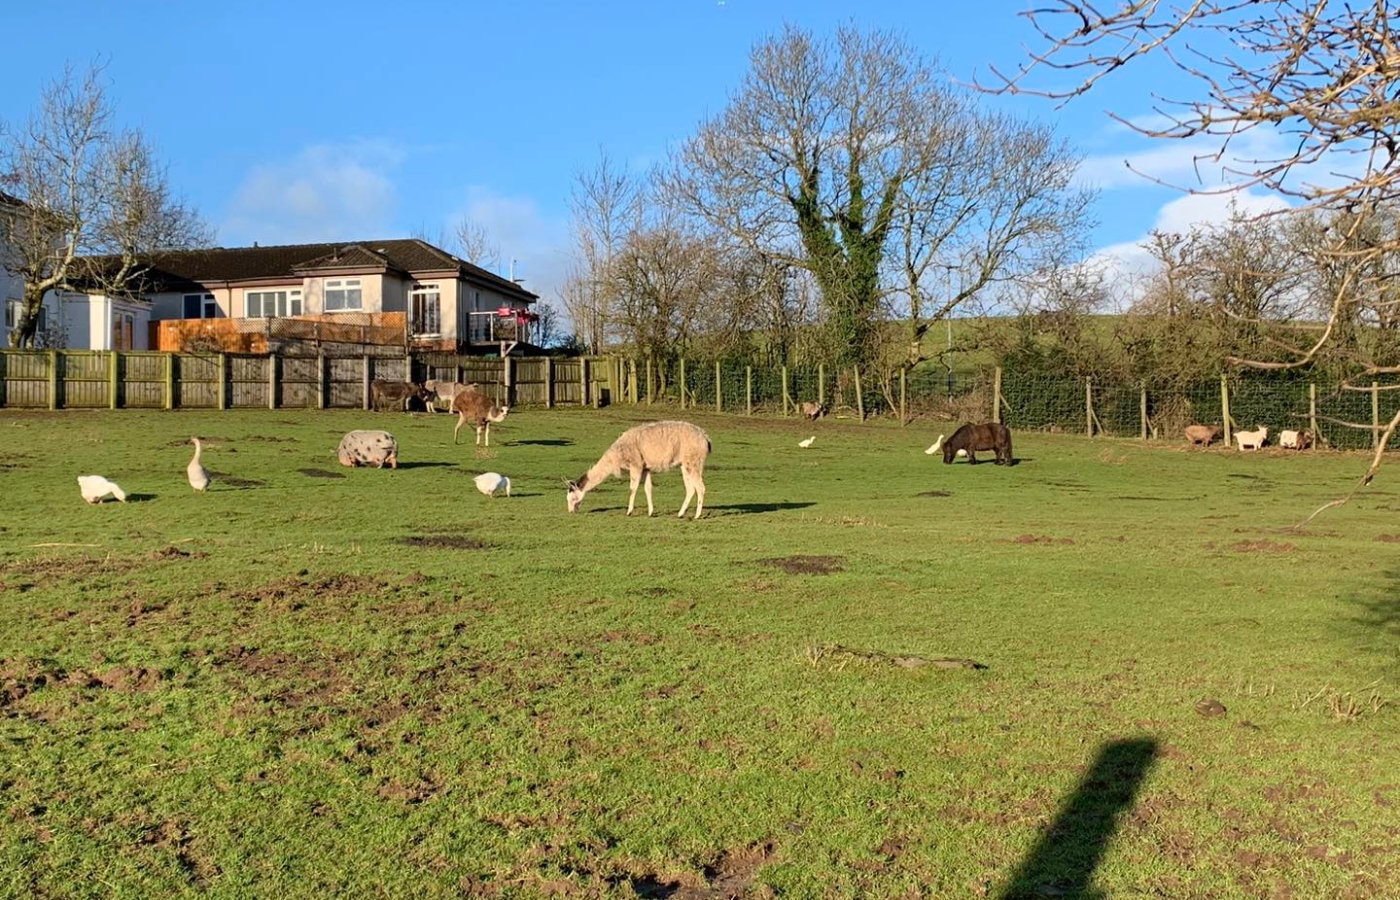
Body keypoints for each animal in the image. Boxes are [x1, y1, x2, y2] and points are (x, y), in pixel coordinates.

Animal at [565, 422, 711, 520]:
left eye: (572, 497)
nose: (571, 511)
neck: (616, 458)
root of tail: (706, 439)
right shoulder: (645, 467)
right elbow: (648, 488)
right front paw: (650, 512)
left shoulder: (636, 464)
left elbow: (632, 488)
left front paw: (629, 512)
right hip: (685, 464)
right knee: (691, 488)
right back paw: (680, 514)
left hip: (693, 461)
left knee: (701, 487)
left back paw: (697, 516)